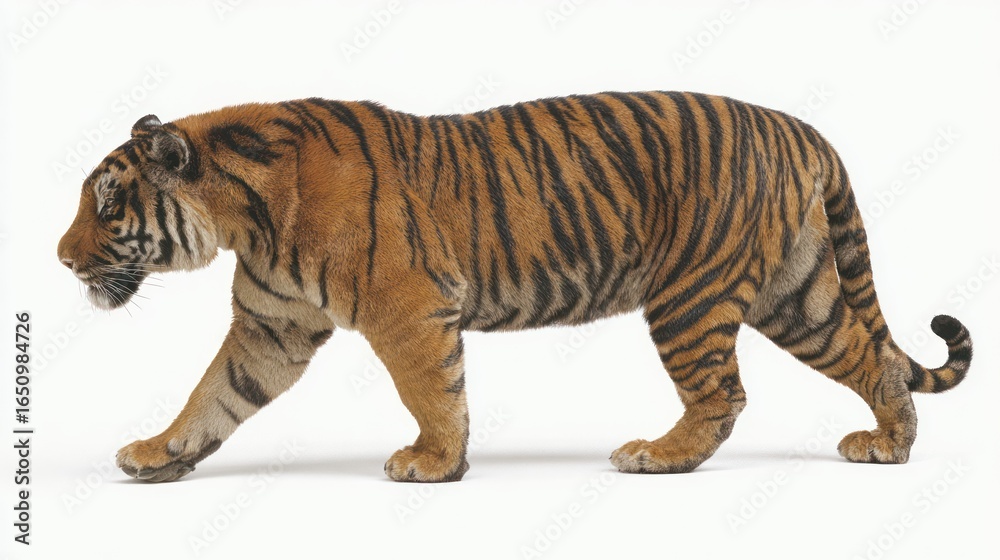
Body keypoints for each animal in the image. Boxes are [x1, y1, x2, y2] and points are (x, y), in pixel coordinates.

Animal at [56, 92, 972, 483]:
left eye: (107, 204)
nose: (61, 259)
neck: (242, 214)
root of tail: (798, 124)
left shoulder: (408, 310)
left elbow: (433, 392)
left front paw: (434, 463)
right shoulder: (269, 328)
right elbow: (212, 394)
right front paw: (159, 453)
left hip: (689, 293)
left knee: (724, 393)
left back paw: (658, 455)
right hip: (798, 293)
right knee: (869, 356)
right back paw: (891, 445)